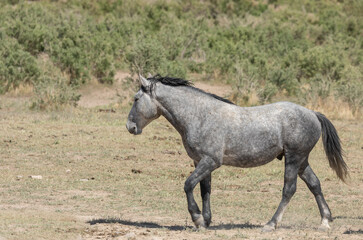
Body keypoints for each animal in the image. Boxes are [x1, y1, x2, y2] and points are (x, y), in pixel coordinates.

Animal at [126, 74, 348, 231]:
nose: (130, 127)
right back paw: (325, 221)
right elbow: (205, 190)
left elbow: (188, 185)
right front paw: (206, 221)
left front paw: (197, 219)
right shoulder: (201, 161)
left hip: (294, 159)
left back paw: (271, 224)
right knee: (314, 184)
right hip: (302, 161)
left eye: (136, 99)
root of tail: (312, 113)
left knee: (289, 190)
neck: (200, 116)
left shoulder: (210, 161)